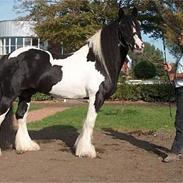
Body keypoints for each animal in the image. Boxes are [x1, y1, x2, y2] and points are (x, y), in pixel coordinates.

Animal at [0, 7, 143, 157]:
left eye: (138, 25)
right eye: (123, 26)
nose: (139, 46)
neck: (99, 62)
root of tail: (8, 57)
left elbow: (85, 122)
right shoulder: (96, 96)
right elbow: (90, 122)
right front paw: (86, 151)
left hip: (26, 94)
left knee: (21, 115)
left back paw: (26, 146)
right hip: (8, 96)